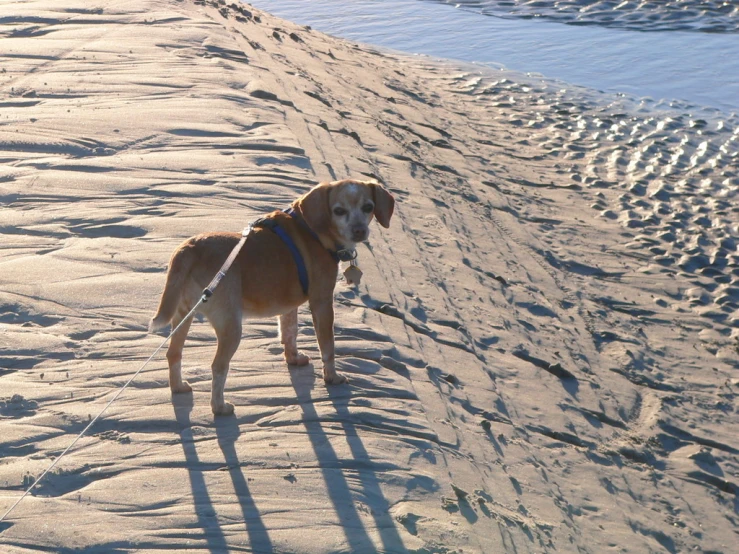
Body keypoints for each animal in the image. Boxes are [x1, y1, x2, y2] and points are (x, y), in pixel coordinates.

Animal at [147, 178, 396, 414]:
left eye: (368, 207)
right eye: (339, 211)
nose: (359, 231)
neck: (311, 230)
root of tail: (189, 248)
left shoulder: (288, 306)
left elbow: (289, 333)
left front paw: (293, 359)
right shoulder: (322, 303)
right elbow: (327, 346)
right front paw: (332, 377)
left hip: (183, 315)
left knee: (173, 353)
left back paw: (178, 387)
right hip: (230, 326)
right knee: (218, 367)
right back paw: (220, 407)